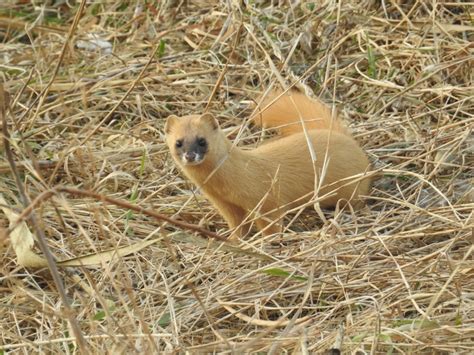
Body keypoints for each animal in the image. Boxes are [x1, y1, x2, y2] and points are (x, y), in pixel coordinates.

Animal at [165, 89, 372, 239]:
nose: (190, 155)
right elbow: (238, 224)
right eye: (178, 143)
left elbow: (271, 222)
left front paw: (269, 241)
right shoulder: (225, 204)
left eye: (202, 141)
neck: (224, 187)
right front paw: (235, 240)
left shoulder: (267, 199)